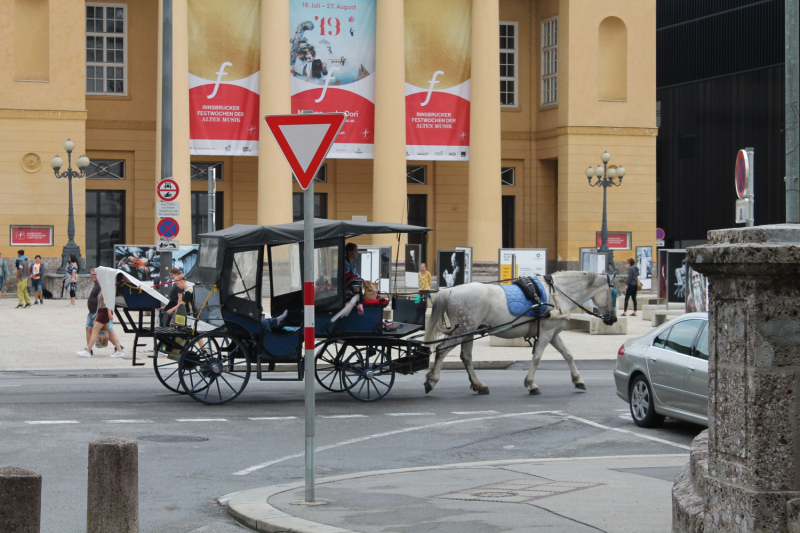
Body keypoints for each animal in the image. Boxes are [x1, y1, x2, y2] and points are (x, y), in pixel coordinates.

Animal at [424, 272, 620, 392]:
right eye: (614, 294)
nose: (613, 319)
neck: (557, 294)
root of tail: (451, 290)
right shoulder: (547, 333)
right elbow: (537, 357)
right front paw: (531, 383)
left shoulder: (554, 334)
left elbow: (568, 355)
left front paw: (578, 379)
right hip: (464, 331)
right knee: (441, 350)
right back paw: (432, 380)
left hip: (468, 332)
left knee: (466, 357)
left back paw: (478, 384)